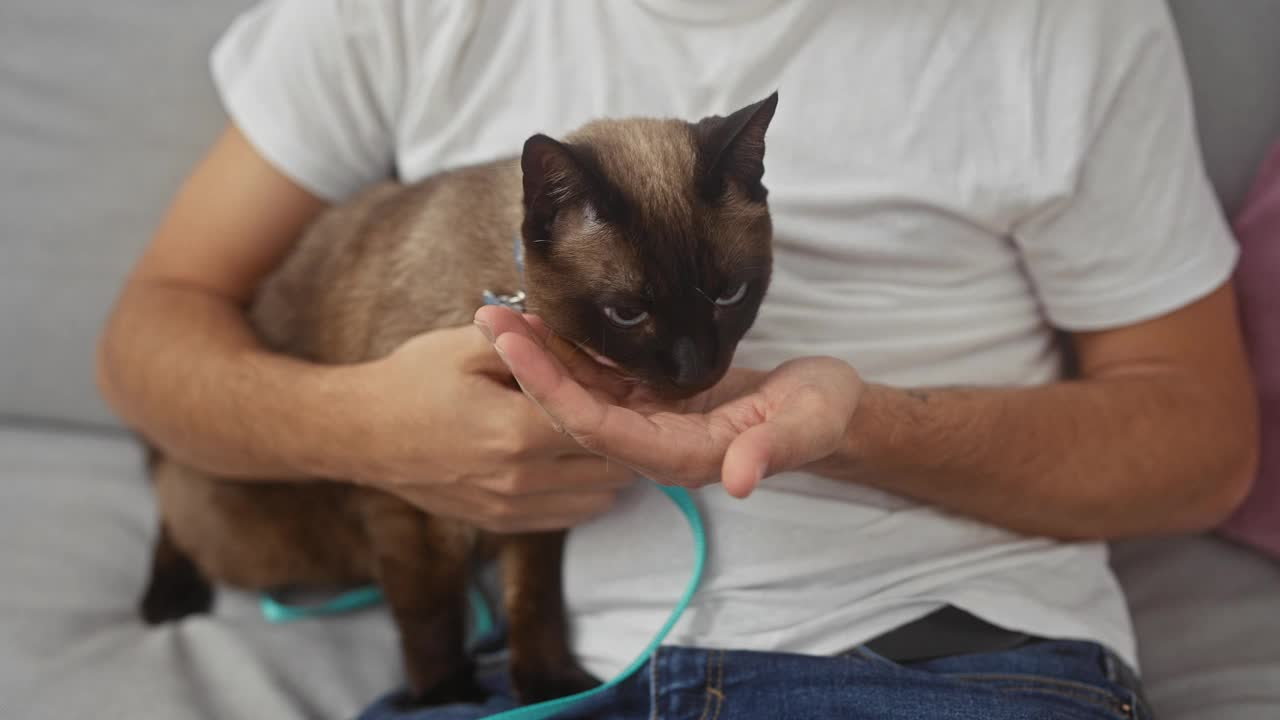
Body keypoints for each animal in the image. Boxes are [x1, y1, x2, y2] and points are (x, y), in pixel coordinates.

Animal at [141, 92, 778, 702]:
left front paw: (544, 683)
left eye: (731, 296)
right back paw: (166, 597)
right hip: (268, 542)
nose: (697, 369)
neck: (513, 298)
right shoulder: (409, 505)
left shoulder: (537, 504)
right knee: (172, 502)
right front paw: (442, 693)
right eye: (627, 314)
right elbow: (428, 611)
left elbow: (534, 599)